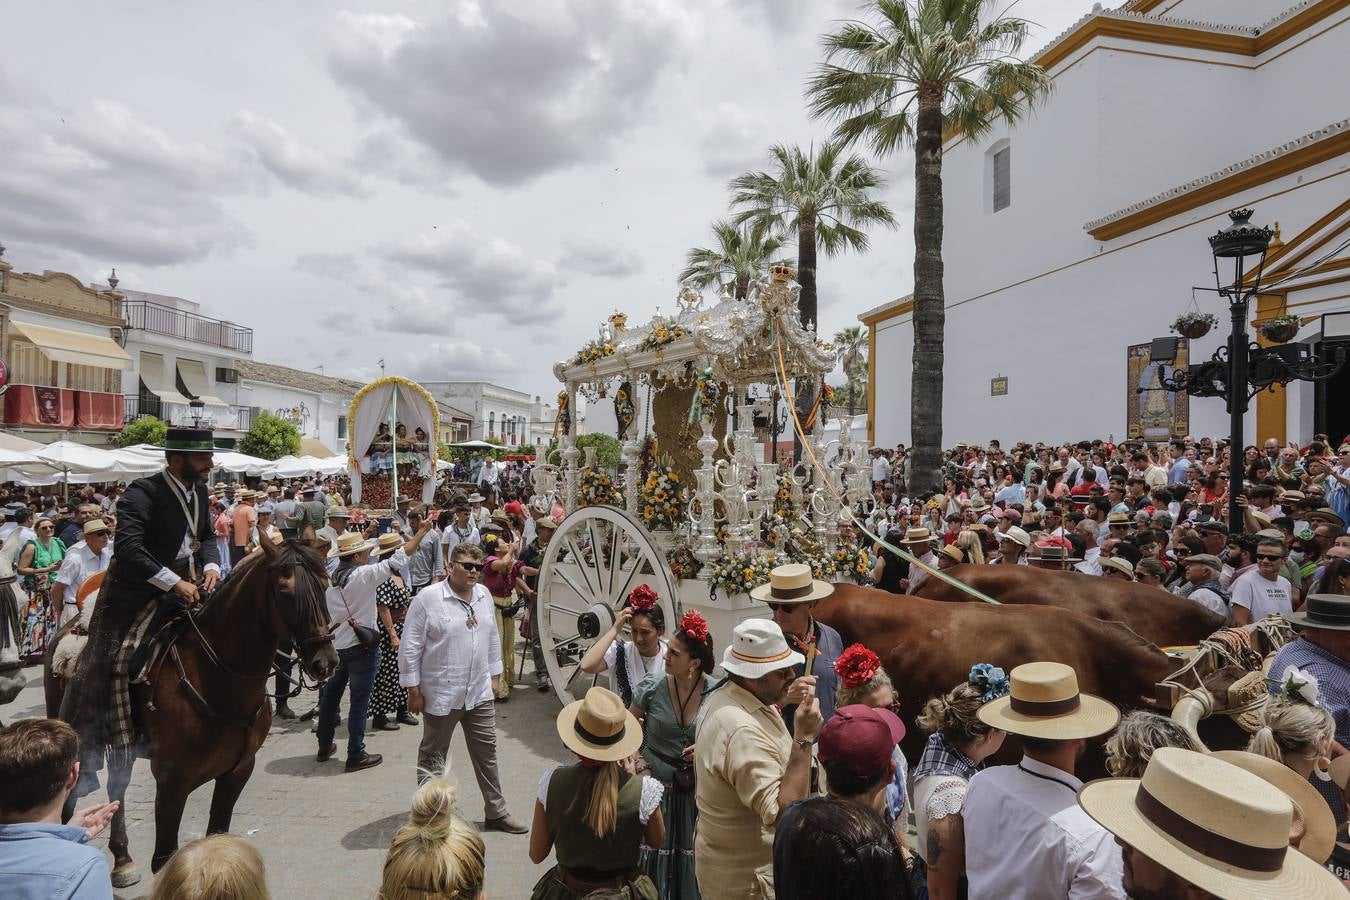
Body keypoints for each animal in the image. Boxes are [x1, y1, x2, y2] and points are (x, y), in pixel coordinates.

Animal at [45, 539, 337, 885]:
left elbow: (218, 836)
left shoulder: (238, 771)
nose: (325, 662)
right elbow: (165, 858)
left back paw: (123, 859)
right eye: (285, 590)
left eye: (325, 584)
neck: (215, 677)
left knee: (118, 786)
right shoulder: (172, 782)